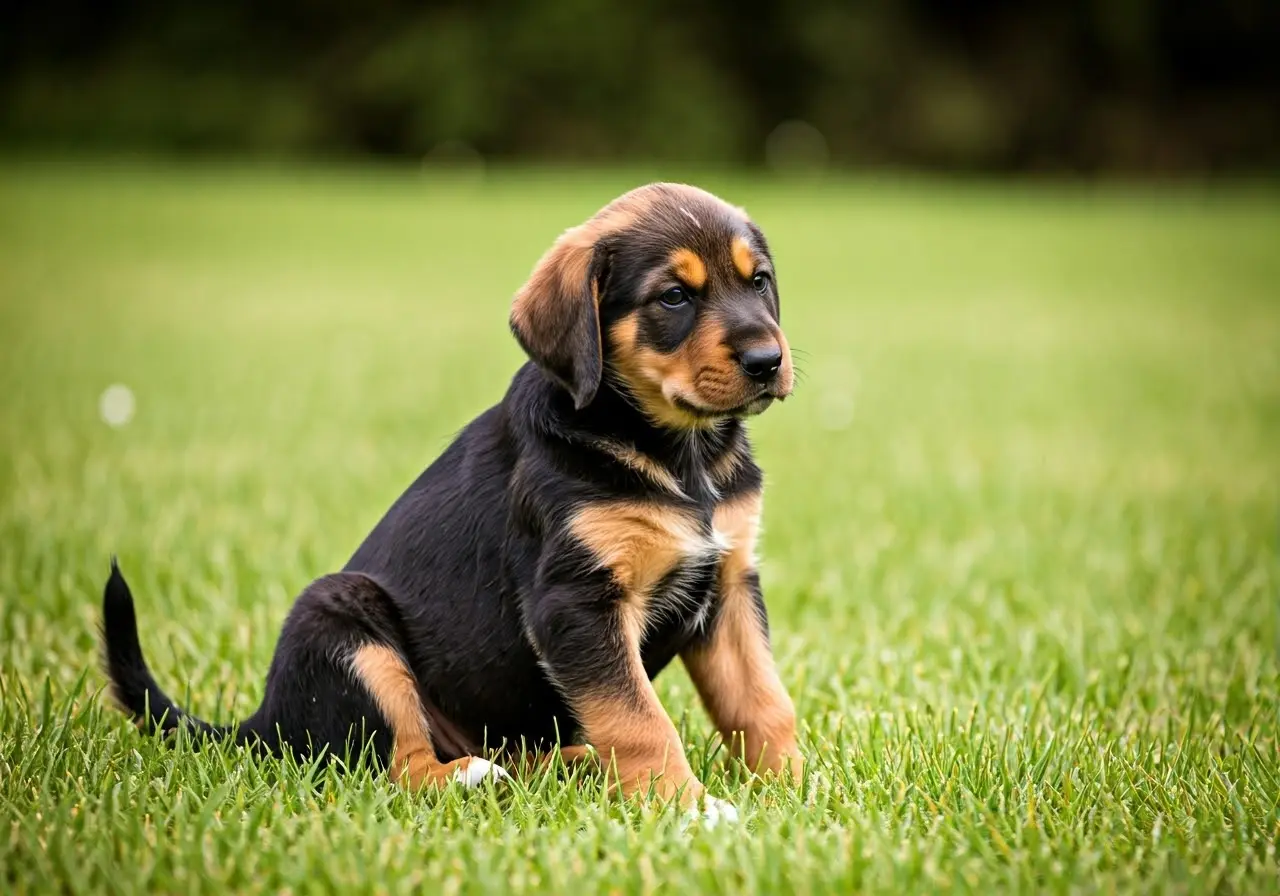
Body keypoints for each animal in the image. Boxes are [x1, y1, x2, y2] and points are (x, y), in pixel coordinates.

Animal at [97, 181, 798, 819]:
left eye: (759, 281)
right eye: (674, 296)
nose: (768, 360)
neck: (680, 455)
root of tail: (263, 722)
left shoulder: (730, 580)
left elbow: (763, 701)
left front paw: (793, 787)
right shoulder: (575, 600)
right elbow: (639, 720)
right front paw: (686, 806)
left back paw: (570, 764)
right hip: (344, 625)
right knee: (397, 766)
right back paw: (476, 776)